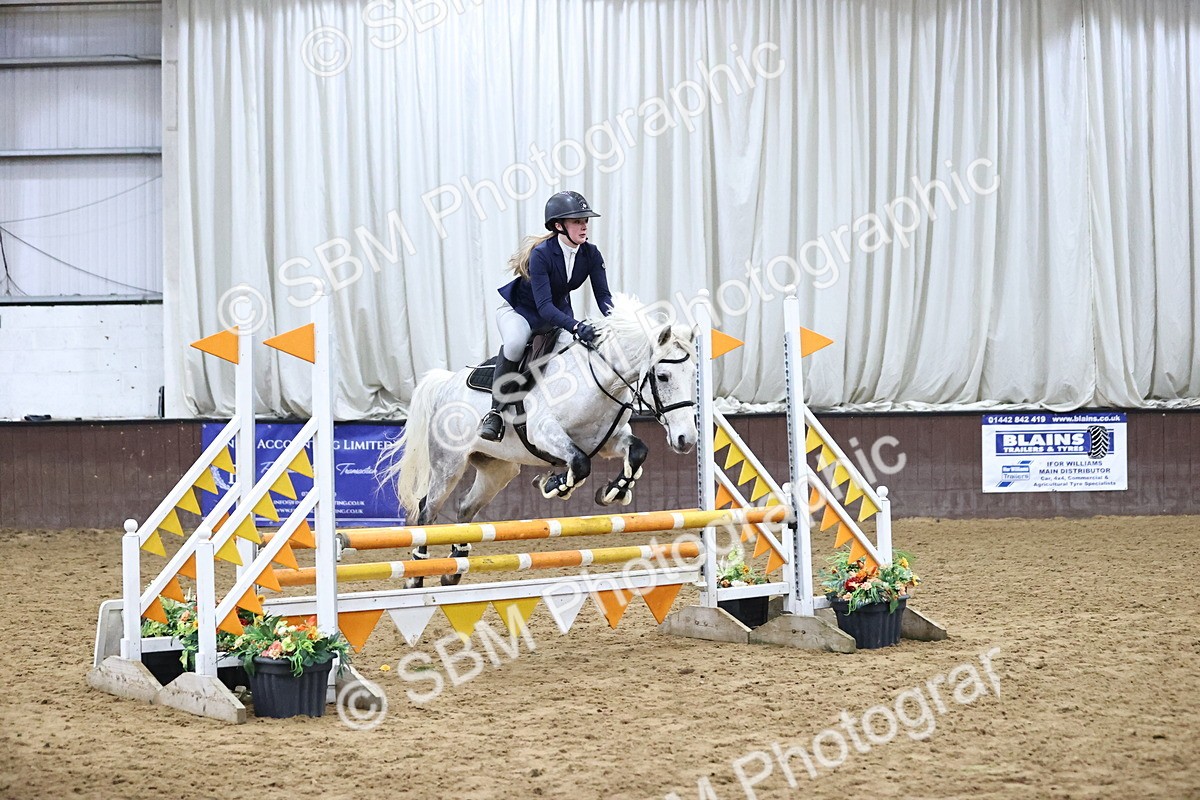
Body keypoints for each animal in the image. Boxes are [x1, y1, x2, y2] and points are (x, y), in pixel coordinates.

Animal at [378, 294, 699, 587]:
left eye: (694, 373)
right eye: (663, 375)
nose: (686, 439)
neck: (596, 379)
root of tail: (446, 384)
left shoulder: (608, 441)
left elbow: (636, 451)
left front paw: (613, 492)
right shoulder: (544, 432)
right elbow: (580, 463)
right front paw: (554, 485)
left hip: (498, 469)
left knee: (465, 508)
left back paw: (453, 571)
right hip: (448, 465)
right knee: (427, 511)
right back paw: (416, 576)